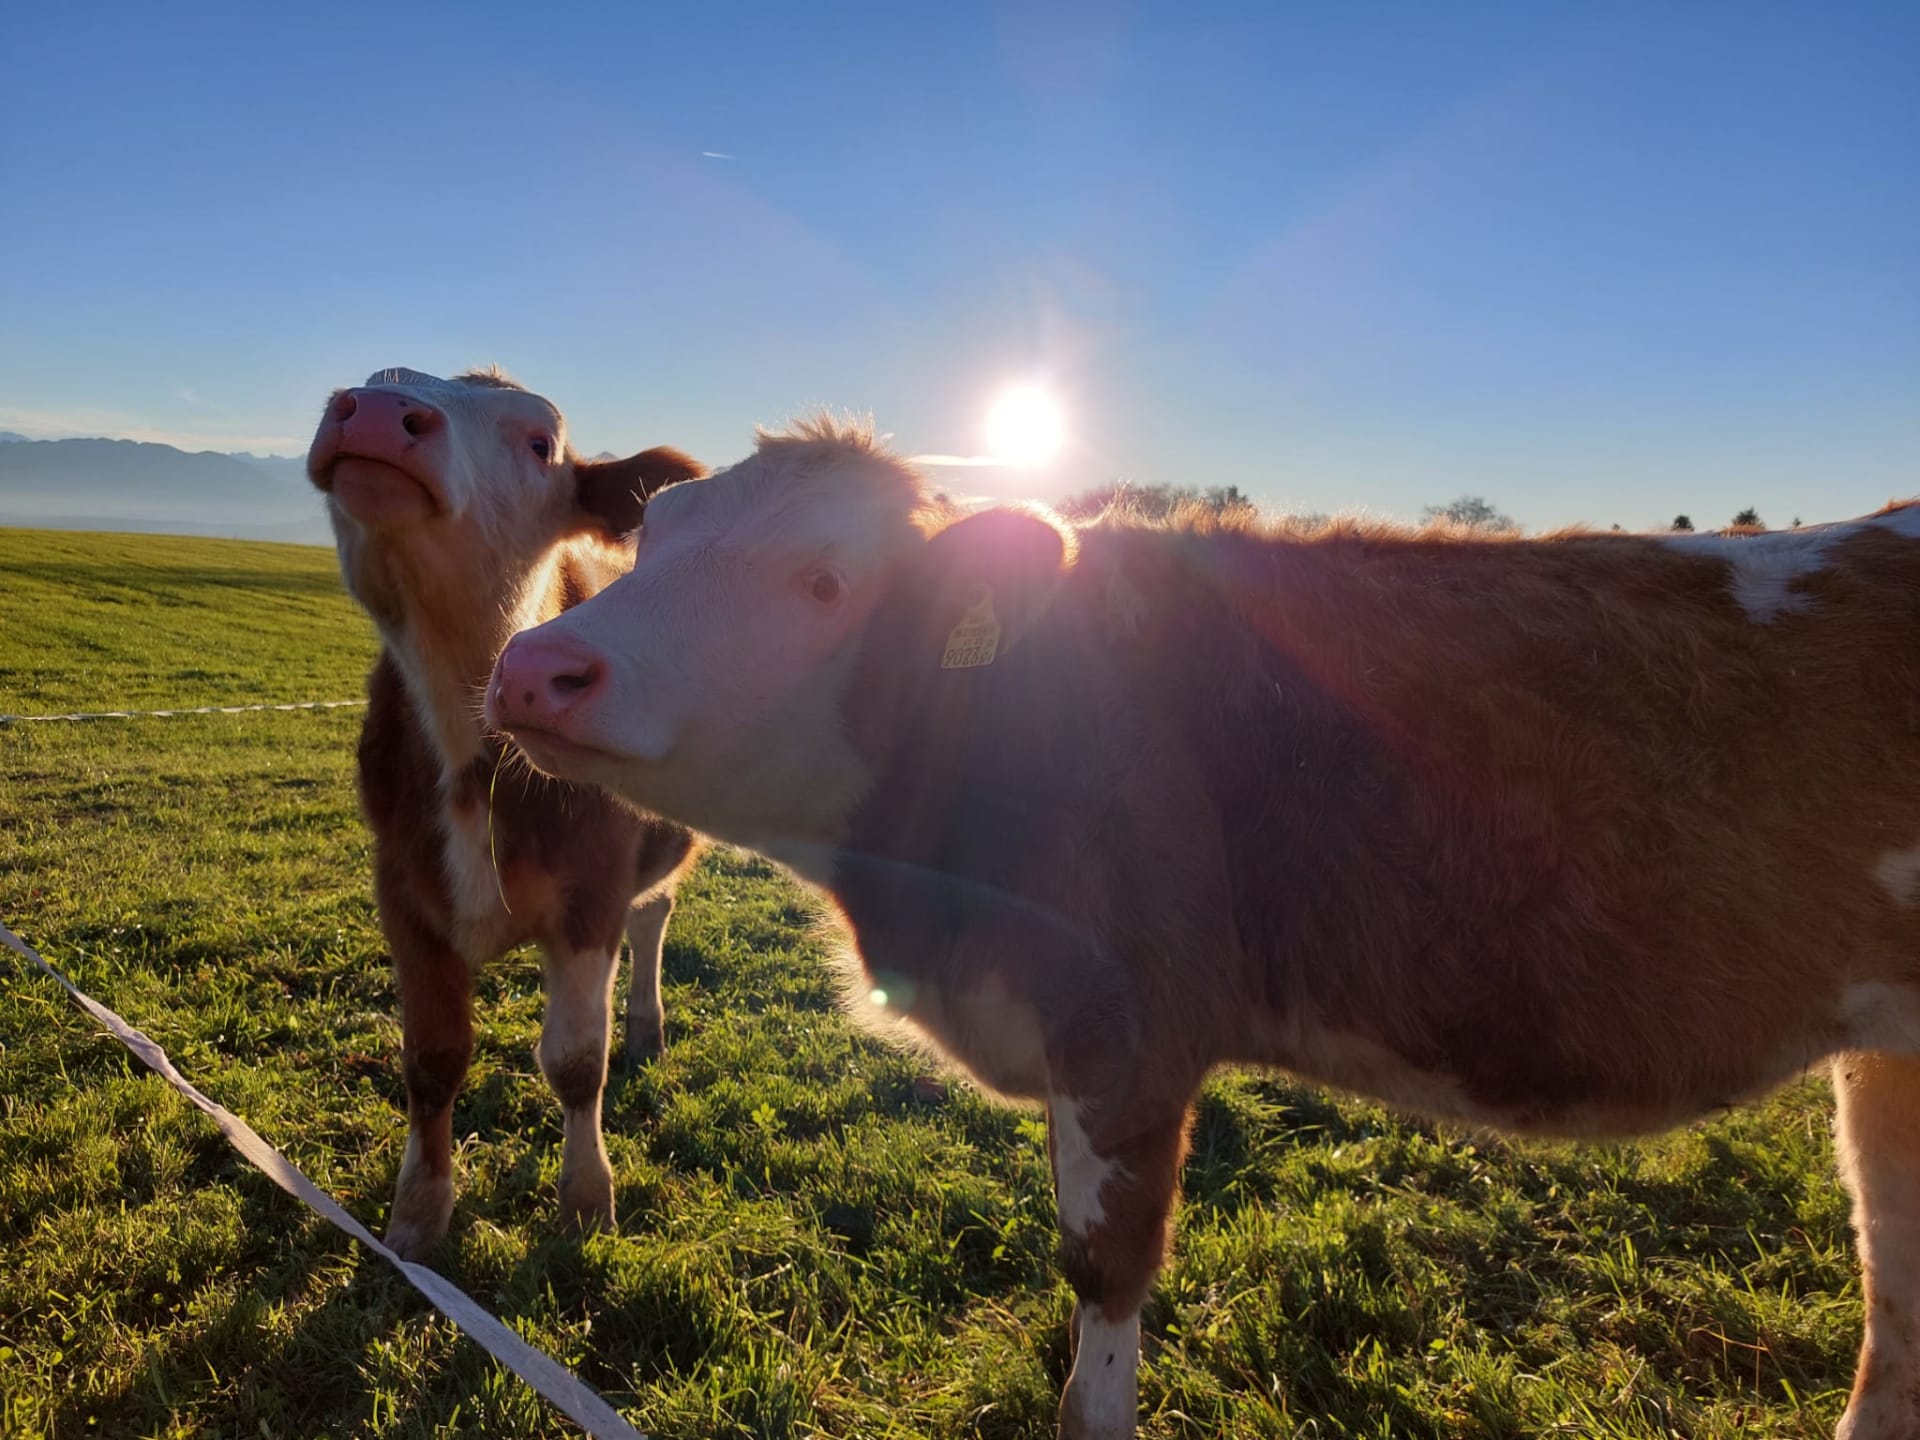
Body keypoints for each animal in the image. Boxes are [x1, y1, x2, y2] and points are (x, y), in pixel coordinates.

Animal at [307, 366, 704, 1259]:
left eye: (539, 442)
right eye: (374, 384)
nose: (376, 411)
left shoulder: (592, 895)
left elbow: (576, 1061)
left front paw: (586, 1200)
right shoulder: (402, 893)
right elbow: (432, 1059)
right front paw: (418, 1214)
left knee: (653, 917)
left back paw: (647, 1025)